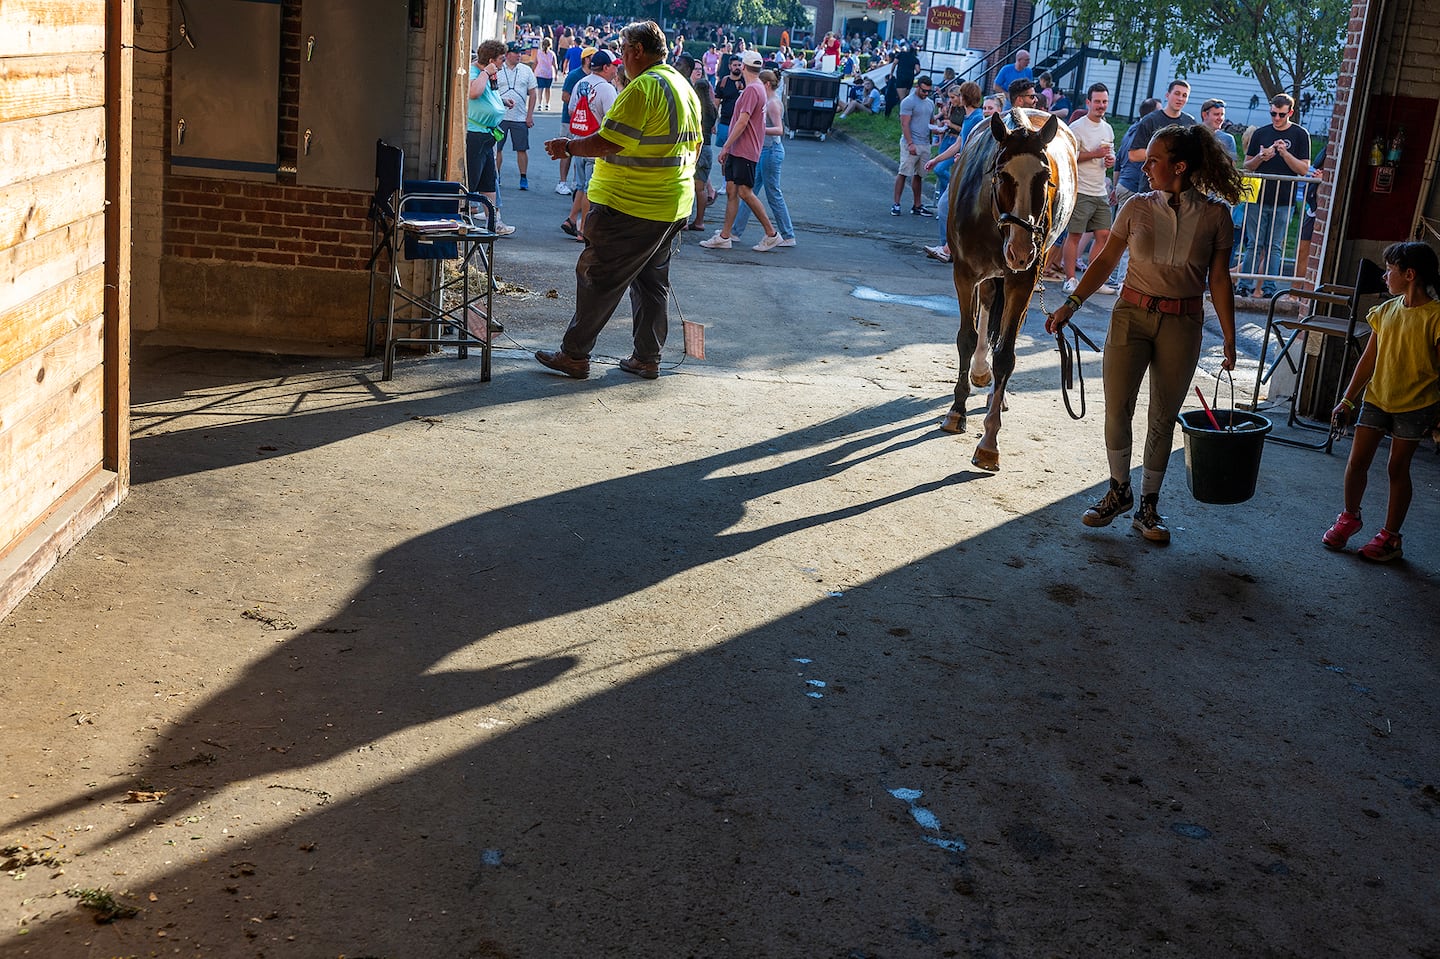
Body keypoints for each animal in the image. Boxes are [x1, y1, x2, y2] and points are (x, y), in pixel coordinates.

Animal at [938, 106, 1077, 469]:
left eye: (1045, 177)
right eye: (1002, 175)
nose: (1021, 250)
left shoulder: (1021, 280)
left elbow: (1006, 355)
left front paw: (989, 443)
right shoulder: (964, 273)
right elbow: (967, 337)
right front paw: (956, 412)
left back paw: (993, 395)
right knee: (988, 303)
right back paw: (979, 373)